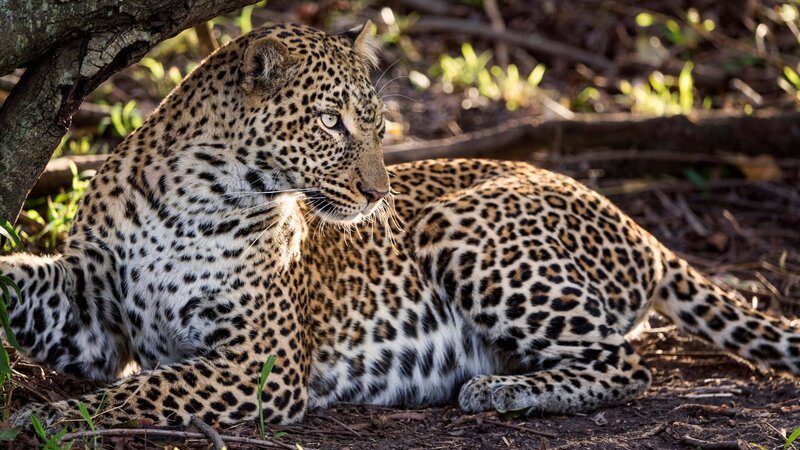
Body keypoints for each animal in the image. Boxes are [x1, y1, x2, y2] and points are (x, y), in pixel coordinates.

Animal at [3, 21, 799, 433]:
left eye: (378, 124)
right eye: (331, 122)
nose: (378, 193)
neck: (196, 192)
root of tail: (637, 226)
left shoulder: (260, 364)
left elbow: (137, 393)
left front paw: (43, 425)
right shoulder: (91, 317)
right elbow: (23, 287)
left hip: (464, 227)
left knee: (626, 362)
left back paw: (501, 393)